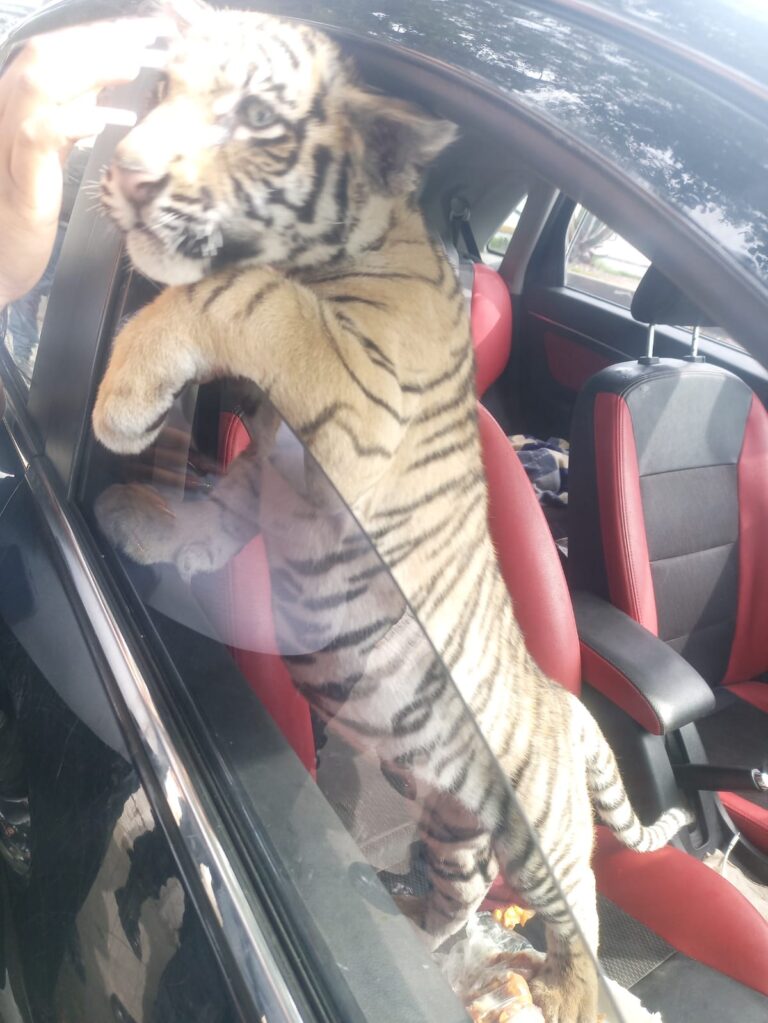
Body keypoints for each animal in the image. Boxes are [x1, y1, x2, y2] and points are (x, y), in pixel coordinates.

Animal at [91, 6, 691, 1021]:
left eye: (257, 117)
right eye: (165, 87)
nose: (127, 170)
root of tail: (565, 701)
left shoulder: (352, 408)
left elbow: (237, 293)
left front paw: (122, 398)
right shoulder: (268, 465)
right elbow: (219, 506)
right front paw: (140, 511)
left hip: (542, 838)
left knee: (581, 922)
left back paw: (568, 994)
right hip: (455, 828)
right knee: (458, 903)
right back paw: (421, 930)